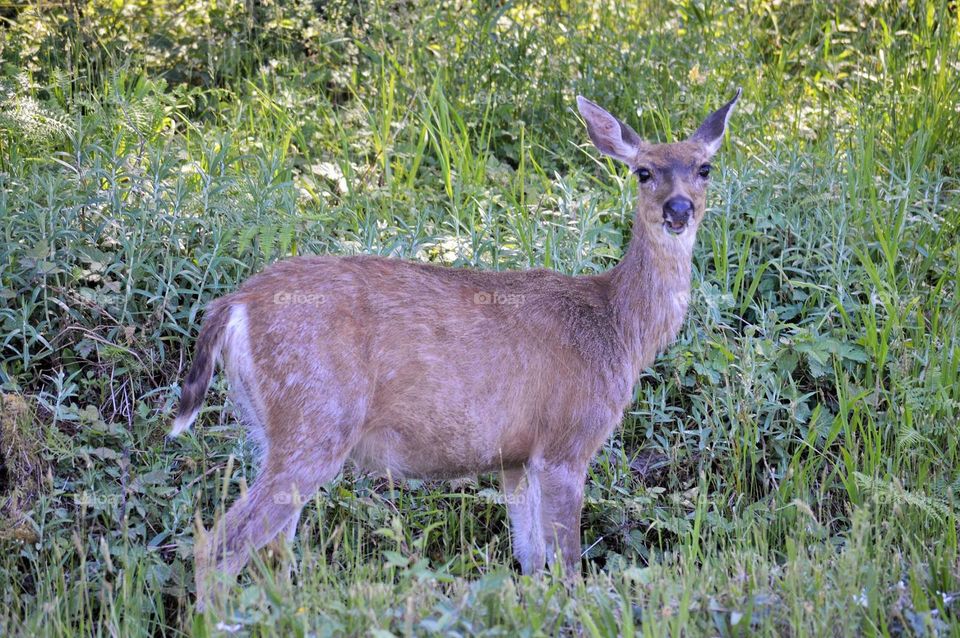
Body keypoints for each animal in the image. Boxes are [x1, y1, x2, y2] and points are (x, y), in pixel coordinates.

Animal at [172, 89, 741, 609]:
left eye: (705, 168)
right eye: (643, 172)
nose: (678, 210)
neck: (618, 327)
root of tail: (235, 305)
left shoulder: (515, 458)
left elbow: (532, 561)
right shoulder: (567, 439)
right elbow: (567, 565)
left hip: (270, 427)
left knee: (270, 555)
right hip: (315, 416)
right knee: (221, 547)